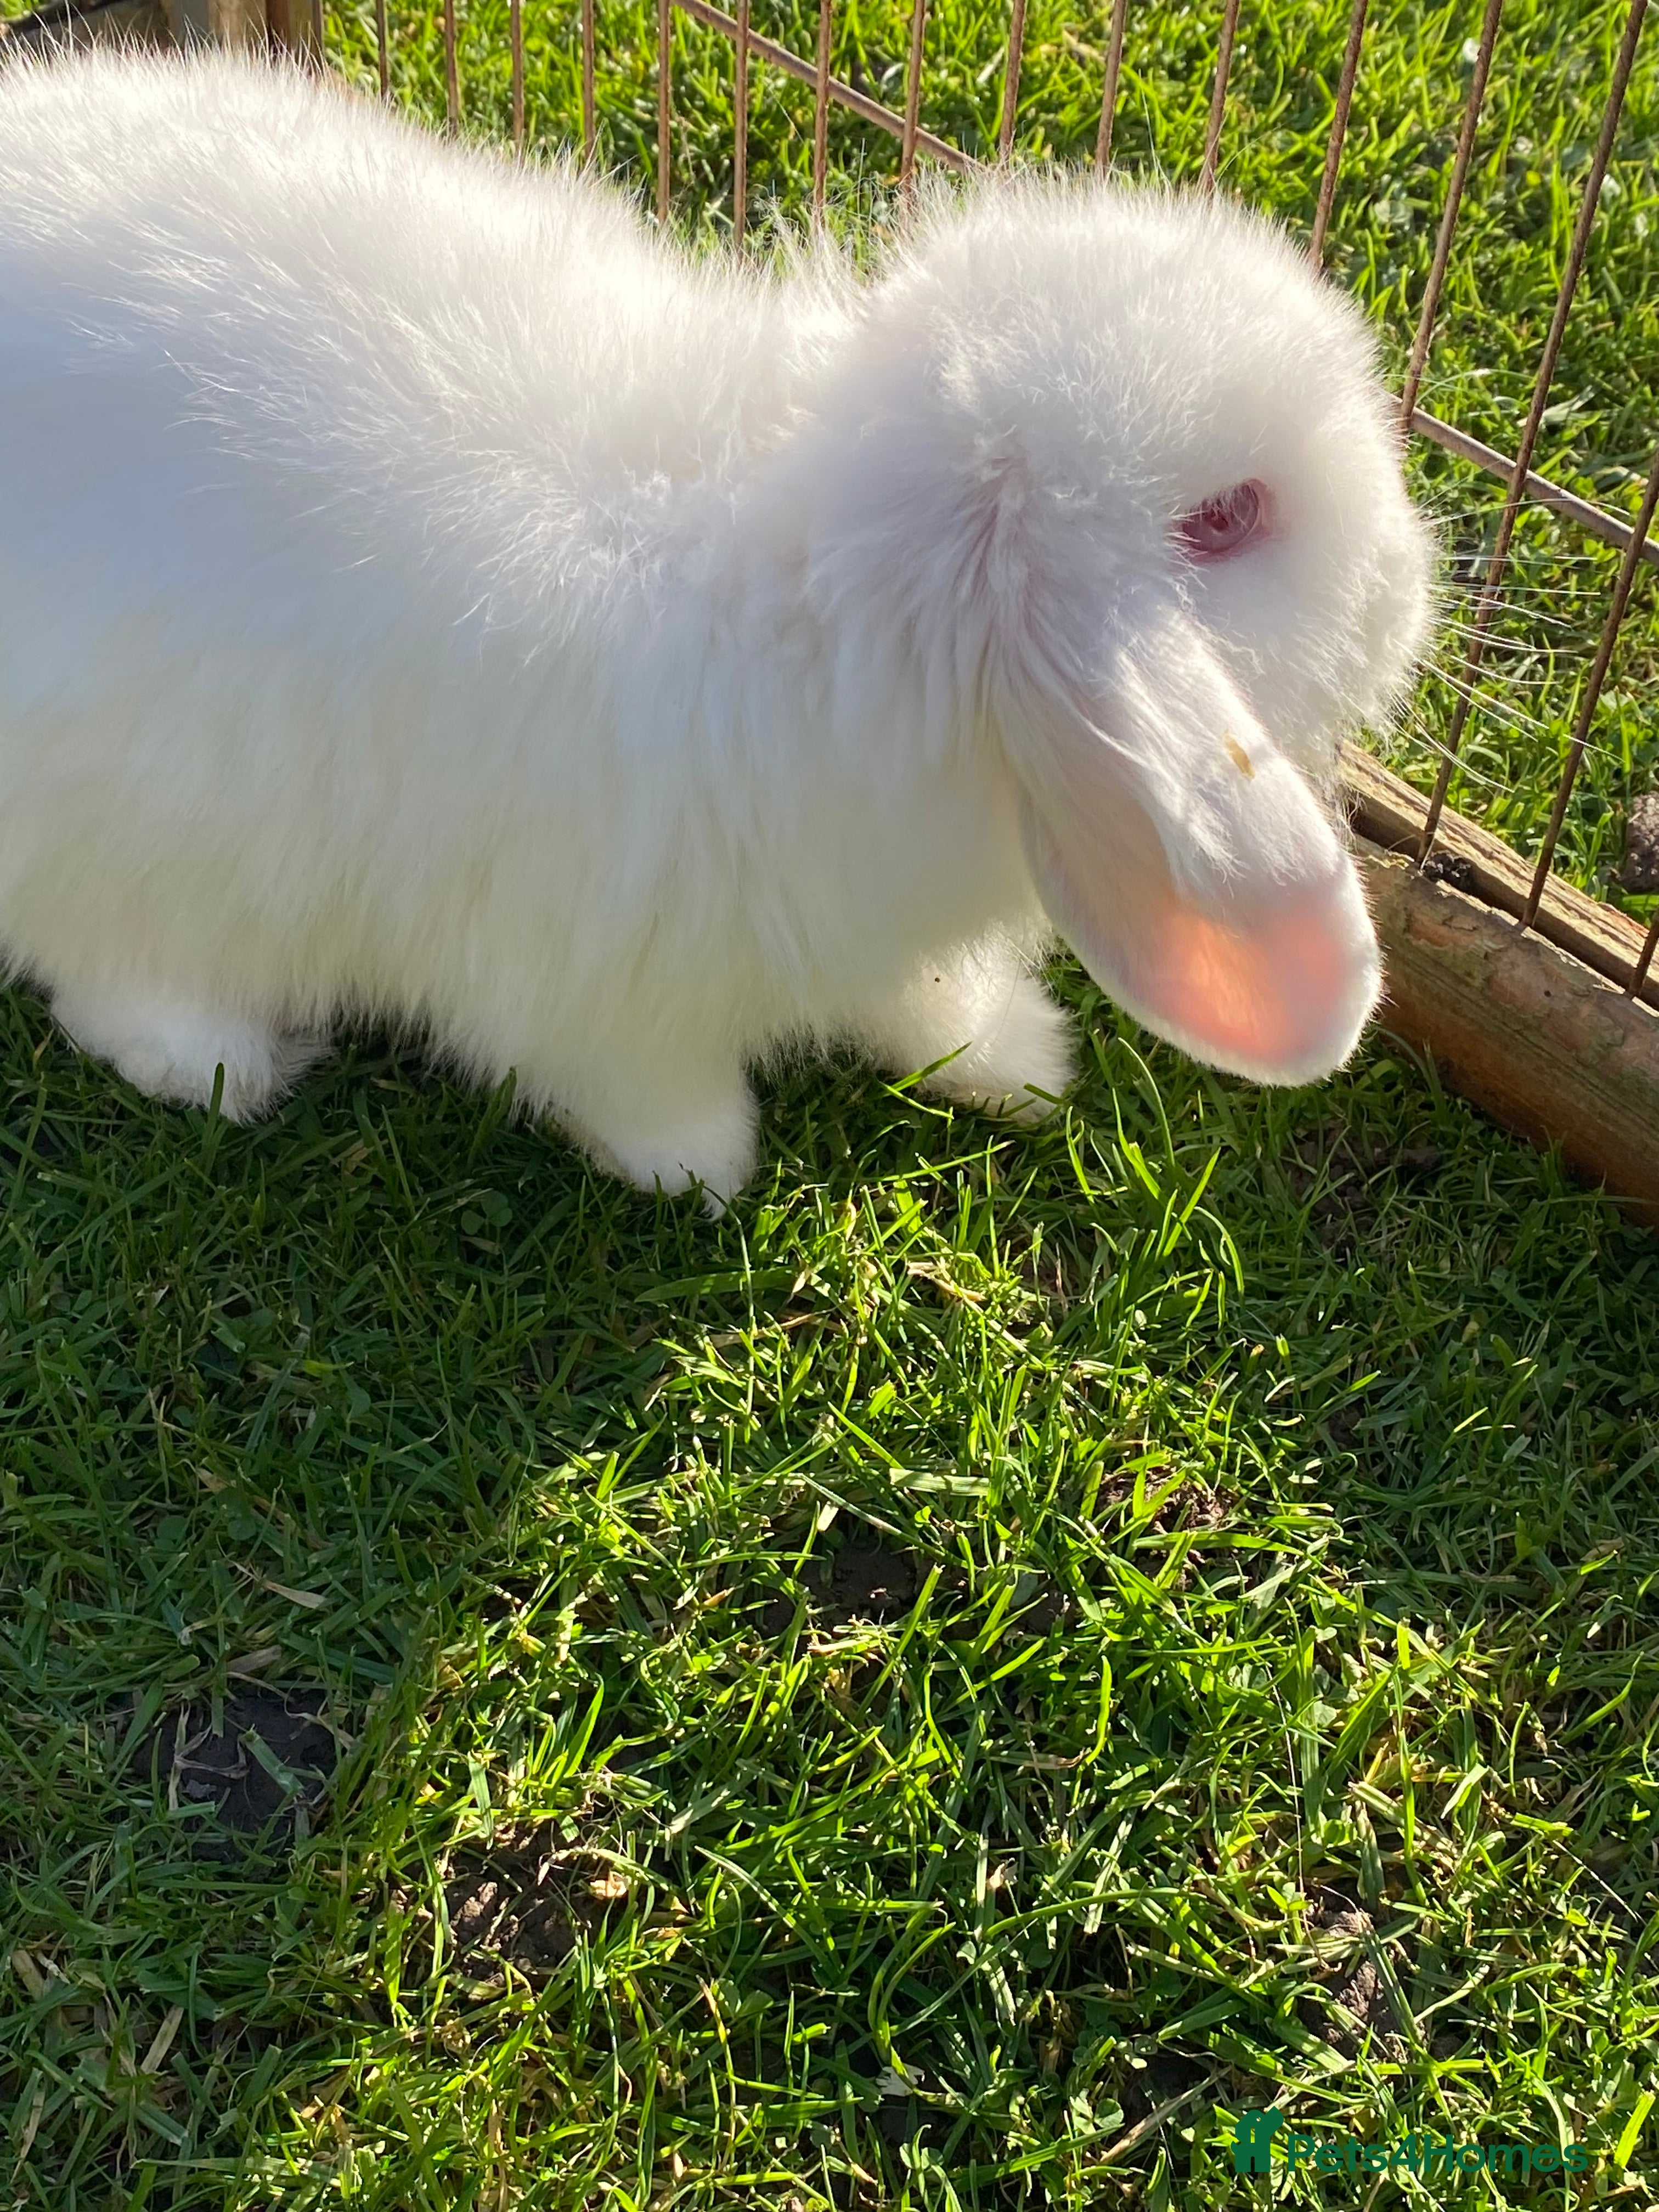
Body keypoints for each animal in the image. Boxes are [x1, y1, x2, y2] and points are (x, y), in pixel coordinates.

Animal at [0, 49, 1433, 1205]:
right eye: (1230, 517)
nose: (1415, 581)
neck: (824, 607)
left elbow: (923, 1001)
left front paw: (1016, 1060)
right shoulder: (590, 972)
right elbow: (640, 1086)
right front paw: (699, 1168)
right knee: (110, 974)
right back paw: (218, 1060)